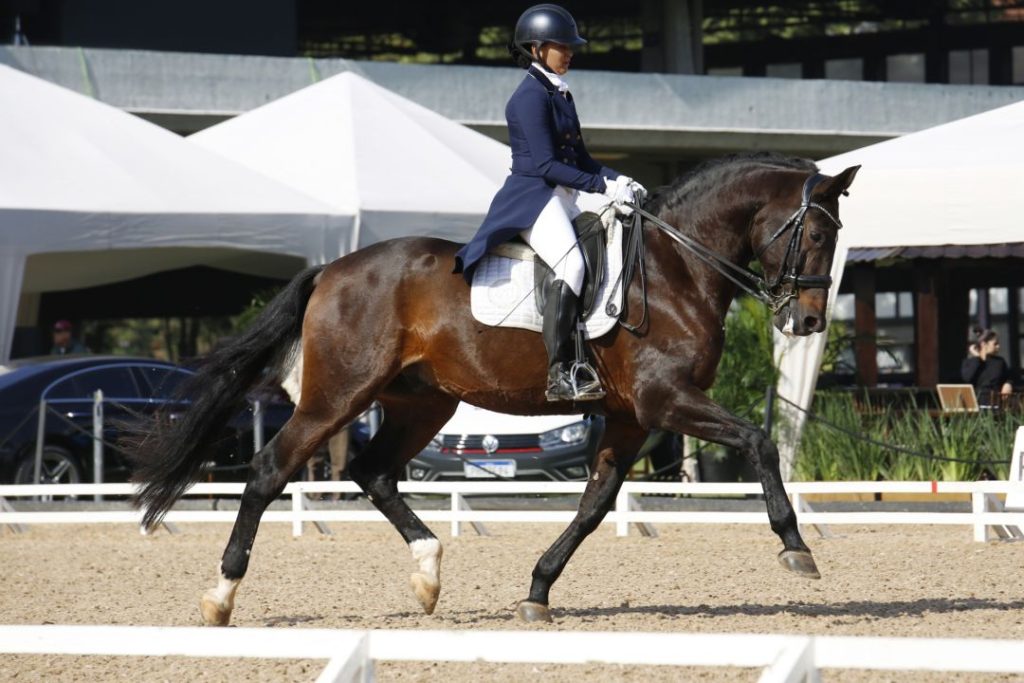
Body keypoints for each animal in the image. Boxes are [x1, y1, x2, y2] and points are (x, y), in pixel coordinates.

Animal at [132, 153, 860, 626]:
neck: (675, 268)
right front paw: (796, 547)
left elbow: (595, 505)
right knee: (268, 470)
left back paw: (428, 573)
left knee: (374, 472)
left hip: (423, 401)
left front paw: (538, 590)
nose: (809, 323)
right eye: (818, 232)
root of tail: (332, 270)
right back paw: (221, 596)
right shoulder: (665, 402)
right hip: (337, 396)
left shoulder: (630, 416)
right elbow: (759, 440)